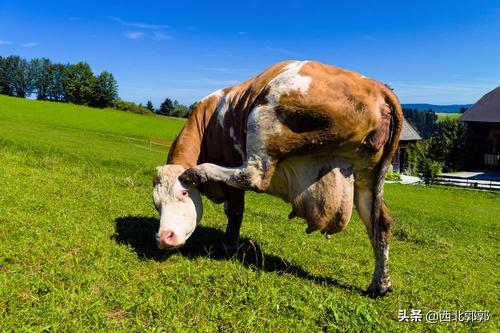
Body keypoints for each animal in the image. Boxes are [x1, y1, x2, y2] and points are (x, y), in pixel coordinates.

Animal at [151, 60, 402, 296]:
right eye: (156, 205)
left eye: (184, 193)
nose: (163, 238)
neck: (209, 122)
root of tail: (376, 87)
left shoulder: (230, 168)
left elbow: (235, 211)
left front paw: (229, 245)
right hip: (366, 177)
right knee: (380, 222)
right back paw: (380, 284)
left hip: (266, 118)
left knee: (252, 175)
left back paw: (199, 171)